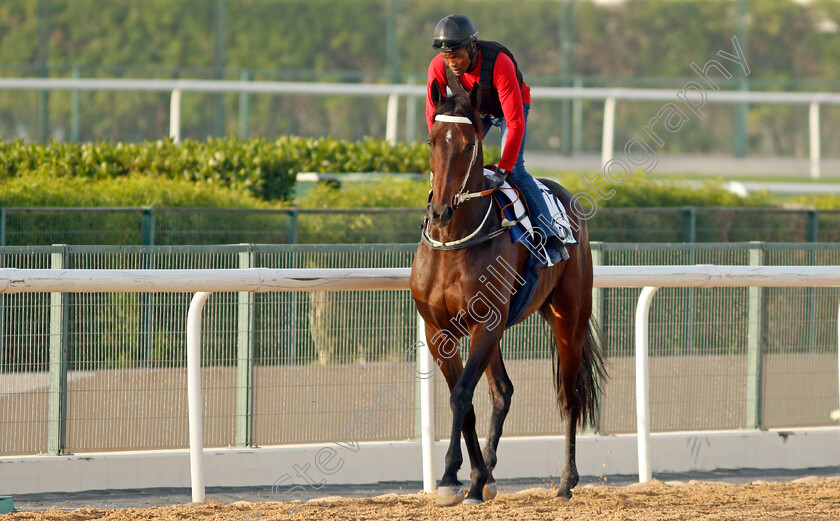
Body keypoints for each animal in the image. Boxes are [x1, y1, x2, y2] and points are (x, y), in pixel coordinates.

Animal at [410, 80, 608, 504]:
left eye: (469, 143)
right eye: (432, 140)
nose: (440, 211)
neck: (454, 241)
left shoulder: (485, 323)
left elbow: (461, 394)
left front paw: (451, 477)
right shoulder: (440, 331)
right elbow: (466, 400)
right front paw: (472, 479)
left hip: (568, 318)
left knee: (569, 395)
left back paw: (566, 482)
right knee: (503, 390)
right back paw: (487, 472)